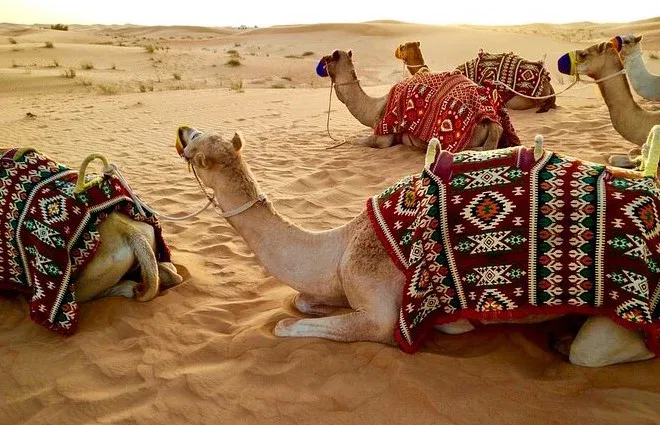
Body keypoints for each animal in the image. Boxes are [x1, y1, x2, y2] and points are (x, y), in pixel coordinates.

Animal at [175, 125, 660, 367]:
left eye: (195, 147)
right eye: (199, 133)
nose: (181, 128)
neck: (340, 245)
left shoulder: (381, 311)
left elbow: (287, 325)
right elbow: (303, 302)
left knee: (592, 353)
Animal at [318, 50, 515, 152]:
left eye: (328, 59)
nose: (321, 63)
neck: (375, 108)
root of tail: (491, 121)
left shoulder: (384, 136)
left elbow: (359, 141)